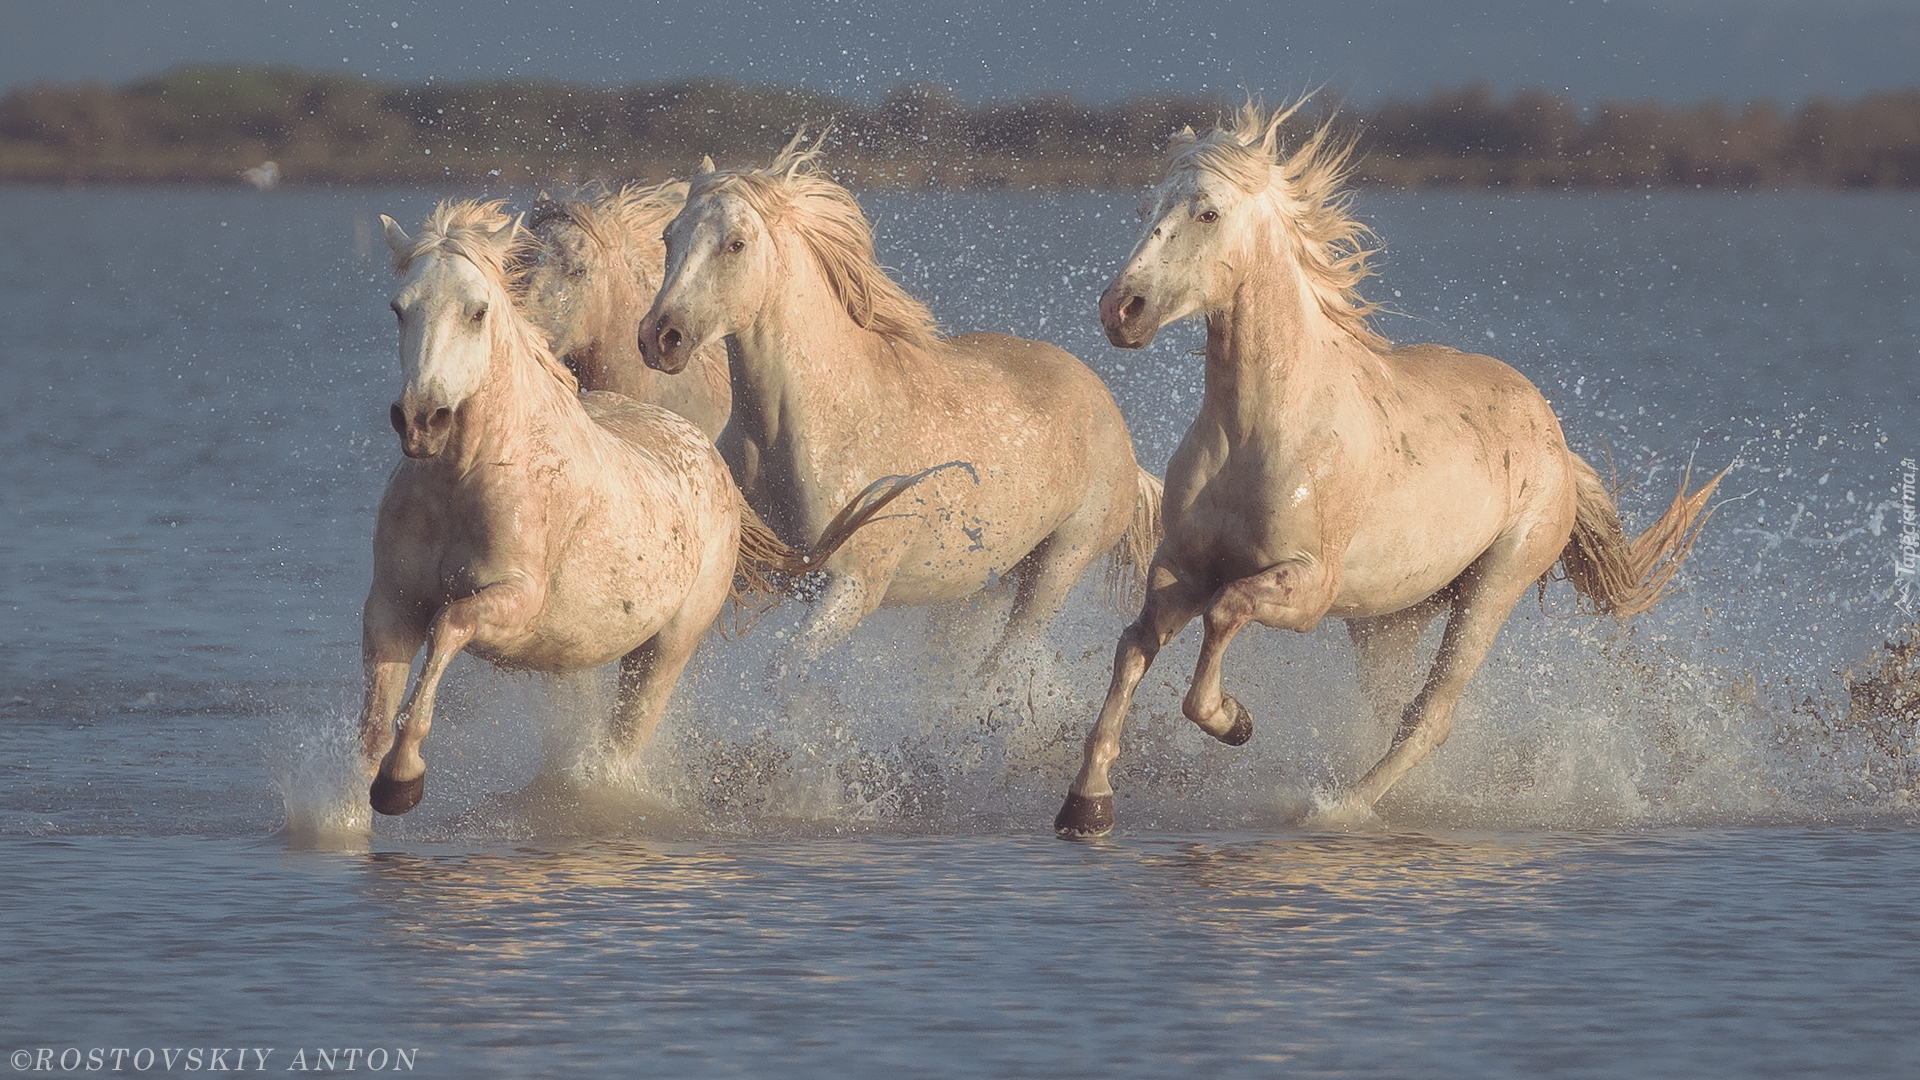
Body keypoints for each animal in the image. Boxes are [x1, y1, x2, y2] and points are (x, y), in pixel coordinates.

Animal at [637, 134, 1159, 672]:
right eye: (669, 237)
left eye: (736, 243)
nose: (660, 337)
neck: (807, 425)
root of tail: (1117, 424)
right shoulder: (740, 567)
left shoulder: (853, 589)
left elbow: (785, 672)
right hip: (983, 586)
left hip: (1057, 569)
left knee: (1004, 663)